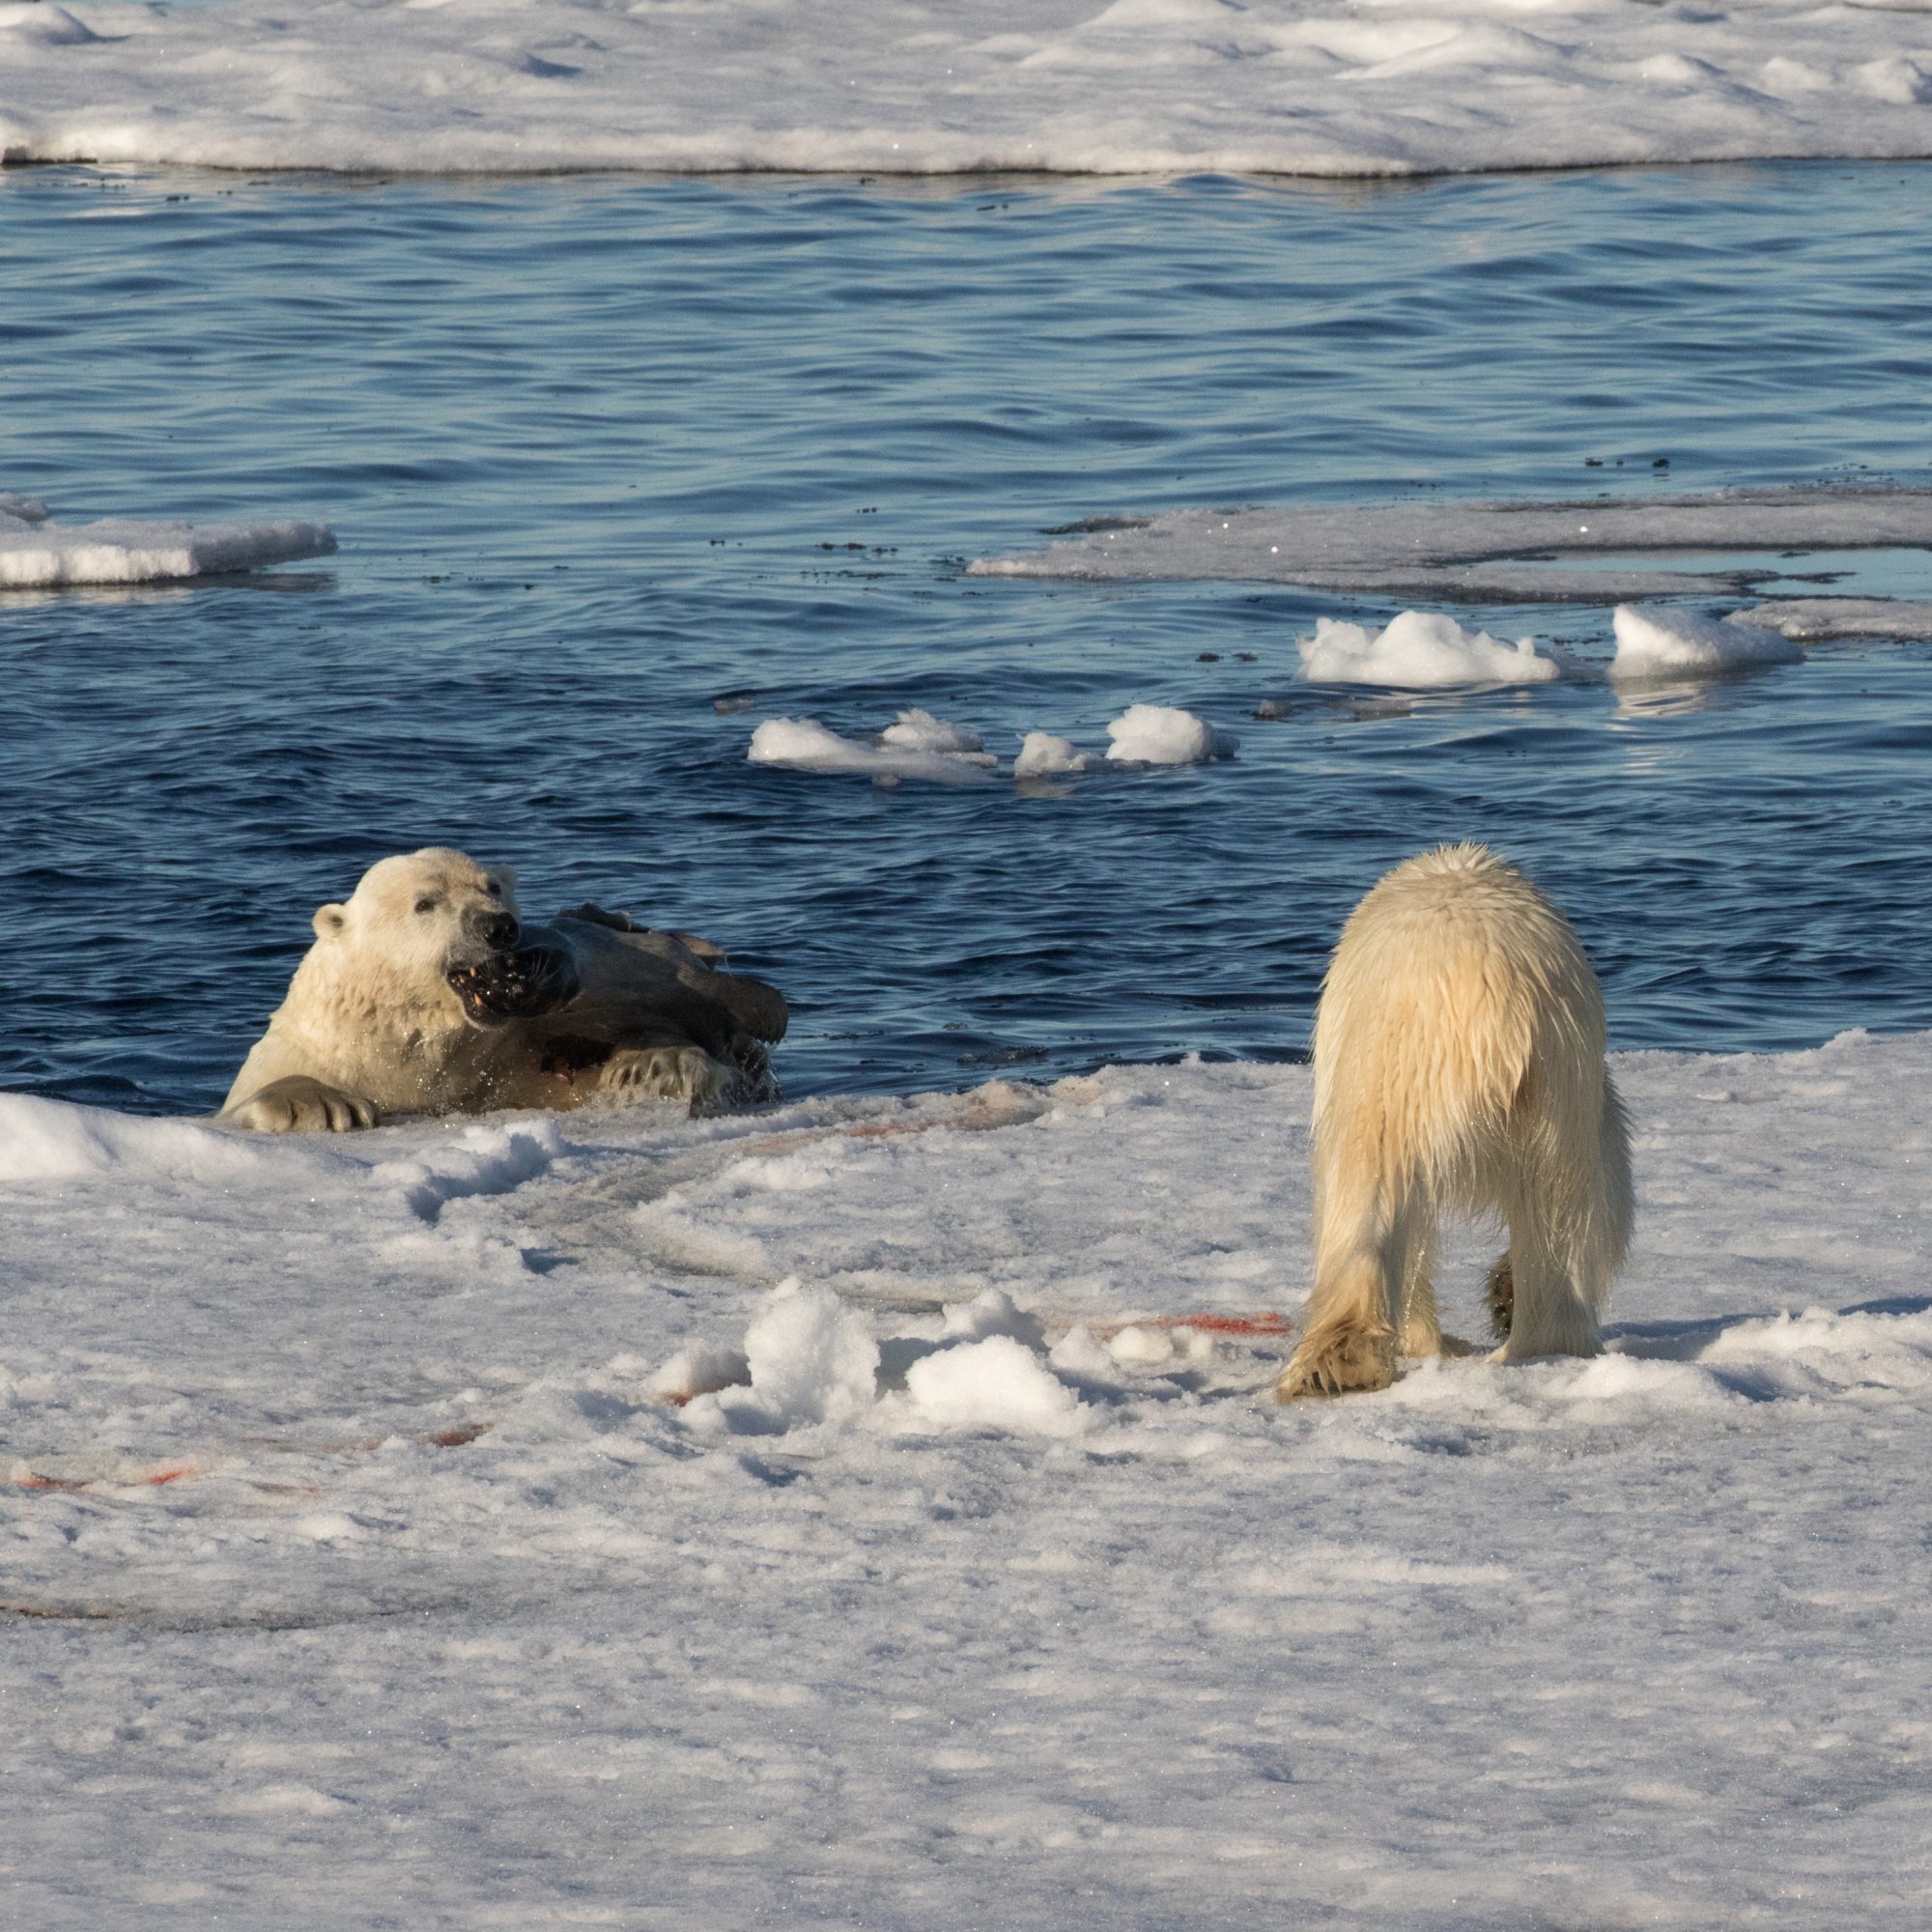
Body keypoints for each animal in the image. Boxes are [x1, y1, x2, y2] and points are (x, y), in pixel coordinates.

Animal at [228, 846, 792, 1128]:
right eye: (425, 903)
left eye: (493, 887)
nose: (497, 926)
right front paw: (322, 1106)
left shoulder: (510, 1055)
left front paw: (649, 1067)